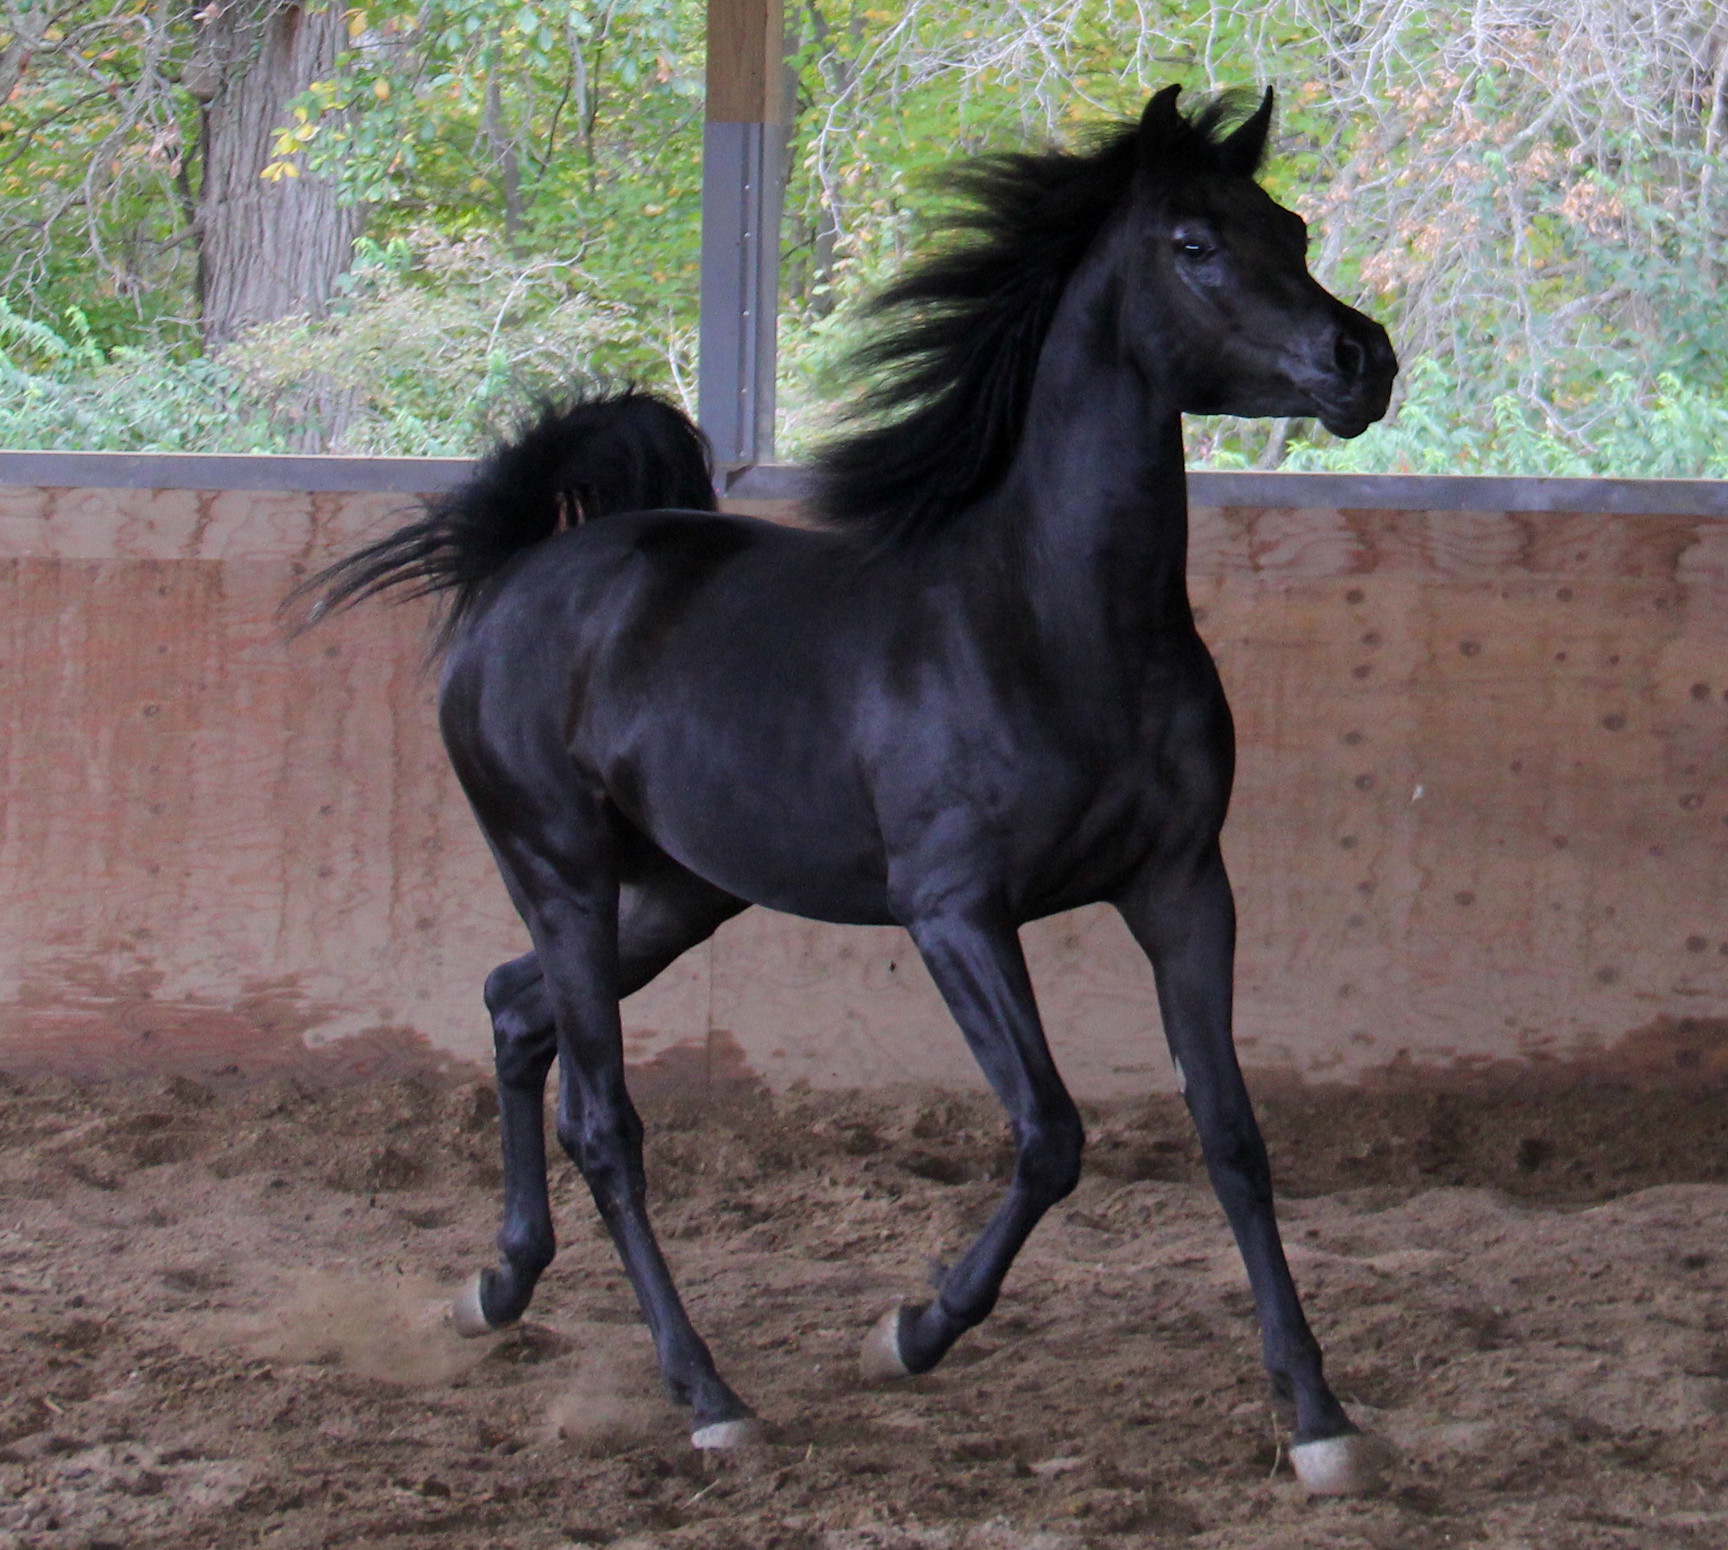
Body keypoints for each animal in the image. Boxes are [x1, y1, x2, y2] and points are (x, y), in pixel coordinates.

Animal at [304, 84, 1396, 1486]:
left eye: (1291, 226)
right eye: (1195, 244)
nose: (1363, 360)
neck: (1055, 622)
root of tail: (515, 575)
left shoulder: (1183, 888)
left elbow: (1234, 1135)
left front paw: (1316, 1413)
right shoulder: (955, 912)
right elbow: (1050, 1134)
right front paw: (912, 1330)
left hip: (677, 895)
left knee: (511, 1011)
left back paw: (496, 1288)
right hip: (561, 872)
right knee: (602, 1119)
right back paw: (707, 1391)